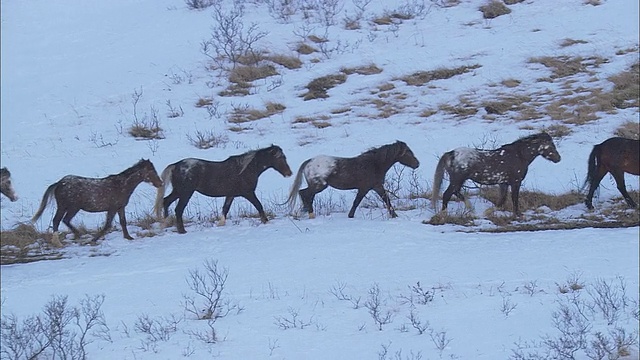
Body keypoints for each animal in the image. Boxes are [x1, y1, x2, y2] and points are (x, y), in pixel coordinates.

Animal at [31, 158, 164, 245]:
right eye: (152, 170)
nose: (160, 183)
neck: (122, 186)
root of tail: (58, 183)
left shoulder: (120, 207)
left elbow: (123, 222)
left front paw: (128, 237)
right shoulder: (112, 208)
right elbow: (107, 225)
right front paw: (93, 239)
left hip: (68, 207)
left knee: (62, 220)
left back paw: (76, 235)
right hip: (69, 207)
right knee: (59, 220)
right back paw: (63, 241)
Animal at [156, 146, 294, 233]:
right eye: (280, 157)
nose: (289, 173)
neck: (245, 170)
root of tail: (176, 165)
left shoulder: (230, 195)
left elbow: (225, 209)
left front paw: (220, 224)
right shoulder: (248, 193)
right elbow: (259, 205)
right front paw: (266, 222)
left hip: (178, 191)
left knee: (166, 201)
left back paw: (165, 224)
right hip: (185, 193)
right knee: (178, 209)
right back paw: (182, 231)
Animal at [284, 141, 420, 219]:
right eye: (407, 152)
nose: (417, 164)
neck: (374, 164)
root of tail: (309, 162)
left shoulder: (377, 186)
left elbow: (386, 200)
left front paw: (394, 215)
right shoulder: (365, 188)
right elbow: (356, 202)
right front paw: (350, 216)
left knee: (307, 196)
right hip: (319, 186)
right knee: (304, 193)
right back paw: (309, 214)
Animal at [430, 133, 560, 215]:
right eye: (551, 146)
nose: (558, 158)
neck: (520, 155)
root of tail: (451, 153)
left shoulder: (504, 183)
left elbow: (502, 200)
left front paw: (487, 212)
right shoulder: (515, 182)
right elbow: (514, 199)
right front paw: (517, 215)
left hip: (458, 181)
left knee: (455, 192)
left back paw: (470, 208)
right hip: (457, 180)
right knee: (447, 194)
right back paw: (445, 214)